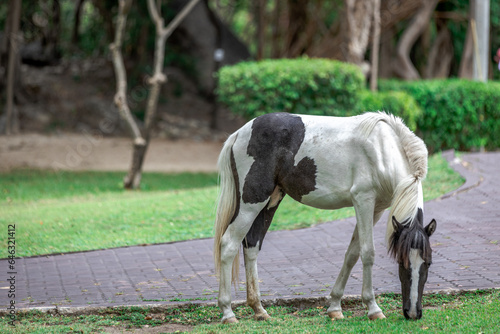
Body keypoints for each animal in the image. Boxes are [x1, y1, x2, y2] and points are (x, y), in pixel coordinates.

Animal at [213, 112, 436, 324]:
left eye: (428, 263)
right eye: (402, 261)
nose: (413, 313)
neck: (382, 147)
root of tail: (239, 133)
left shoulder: (377, 209)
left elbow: (352, 254)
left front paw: (335, 308)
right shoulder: (363, 201)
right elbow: (367, 253)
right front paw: (373, 309)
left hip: (271, 201)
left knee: (251, 245)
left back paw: (259, 310)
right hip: (252, 202)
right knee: (229, 244)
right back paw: (228, 312)